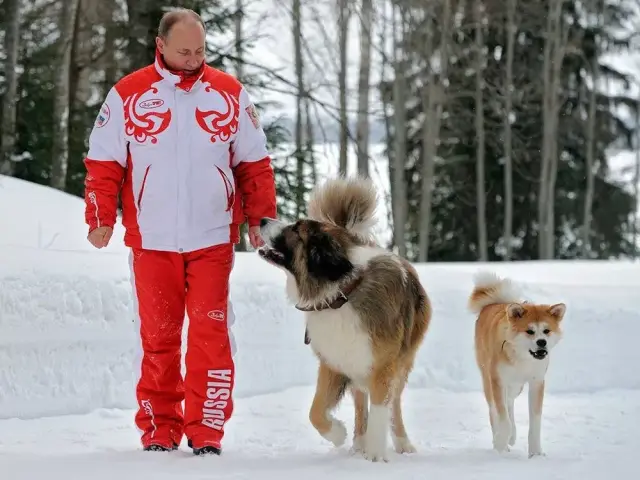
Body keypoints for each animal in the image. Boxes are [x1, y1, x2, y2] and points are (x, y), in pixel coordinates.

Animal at [255, 175, 430, 462]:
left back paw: (401, 442)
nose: (261, 220)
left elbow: (381, 409)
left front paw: (376, 454)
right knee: (360, 399)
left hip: (402, 360)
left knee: (394, 404)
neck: (343, 292)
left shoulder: (383, 365)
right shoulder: (333, 361)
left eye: (296, 229)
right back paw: (358, 441)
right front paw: (338, 434)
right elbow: (315, 410)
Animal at [468, 272, 568, 456]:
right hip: (488, 379)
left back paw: (512, 435)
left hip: (516, 386)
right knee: (494, 410)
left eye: (546, 331)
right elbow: (502, 418)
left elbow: (535, 422)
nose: (542, 342)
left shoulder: (537, 382)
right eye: (529, 331)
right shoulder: (498, 380)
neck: (523, 358)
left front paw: (535, 453)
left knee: (509, 402)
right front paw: (500, 443)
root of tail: (493, 303)